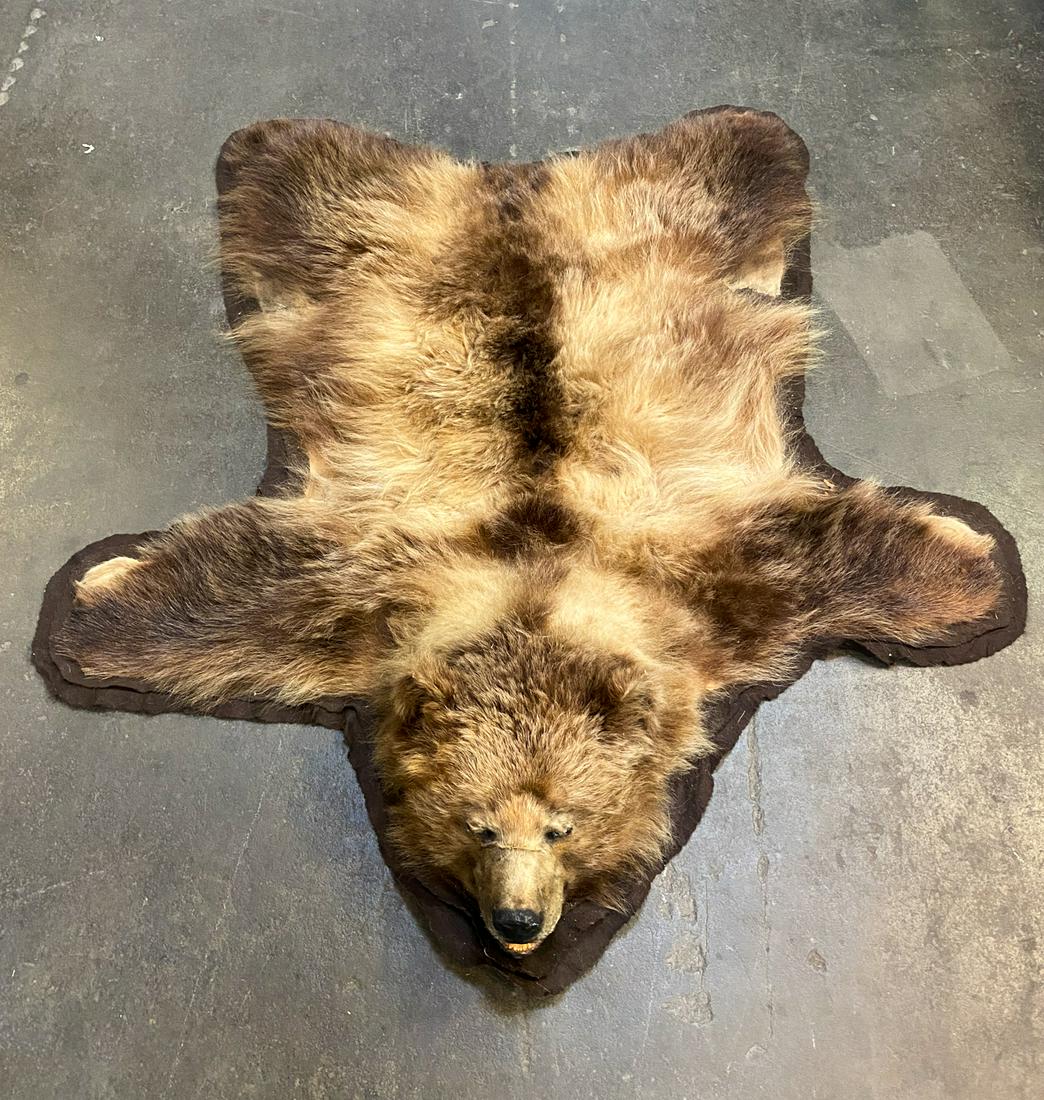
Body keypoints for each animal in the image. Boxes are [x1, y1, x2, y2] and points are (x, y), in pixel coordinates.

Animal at [55, 108, 1002, 956]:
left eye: (563, 826)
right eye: (476, 826)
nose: (517, 924)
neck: (538, 589)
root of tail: (512, 183)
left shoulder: (716, 580)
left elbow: (831, 554)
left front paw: (973, 559)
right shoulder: (365, 594)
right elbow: (239, 592)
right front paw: (93, 600)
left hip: (657, 214)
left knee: (720, 175)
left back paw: (751, 151)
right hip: (365, 229)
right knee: (320, 186)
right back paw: (279, 146)